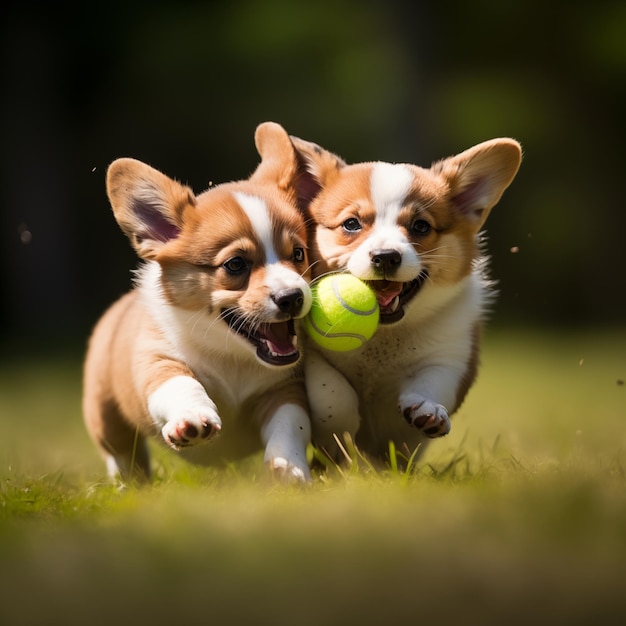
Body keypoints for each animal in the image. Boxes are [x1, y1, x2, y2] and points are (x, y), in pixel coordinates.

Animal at [84, 123, 312, 482]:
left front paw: (288, 467)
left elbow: (291, 424)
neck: (233, 357)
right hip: (104, 413)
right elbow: (180, 384)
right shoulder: (157, 360)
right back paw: (128, 484)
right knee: (120, 453)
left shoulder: (285, 389)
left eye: (298, 254)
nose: (292, 297)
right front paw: (191, 418)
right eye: (236, 265)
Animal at [256, 123, 520, 464]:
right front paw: (342, 424)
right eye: (351, 224)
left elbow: (433, 382)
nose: (385, 256)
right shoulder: (306, 355)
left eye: (420, 226)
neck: (381, 337)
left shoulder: (452, 357)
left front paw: (428, 410)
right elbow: (332, 389)